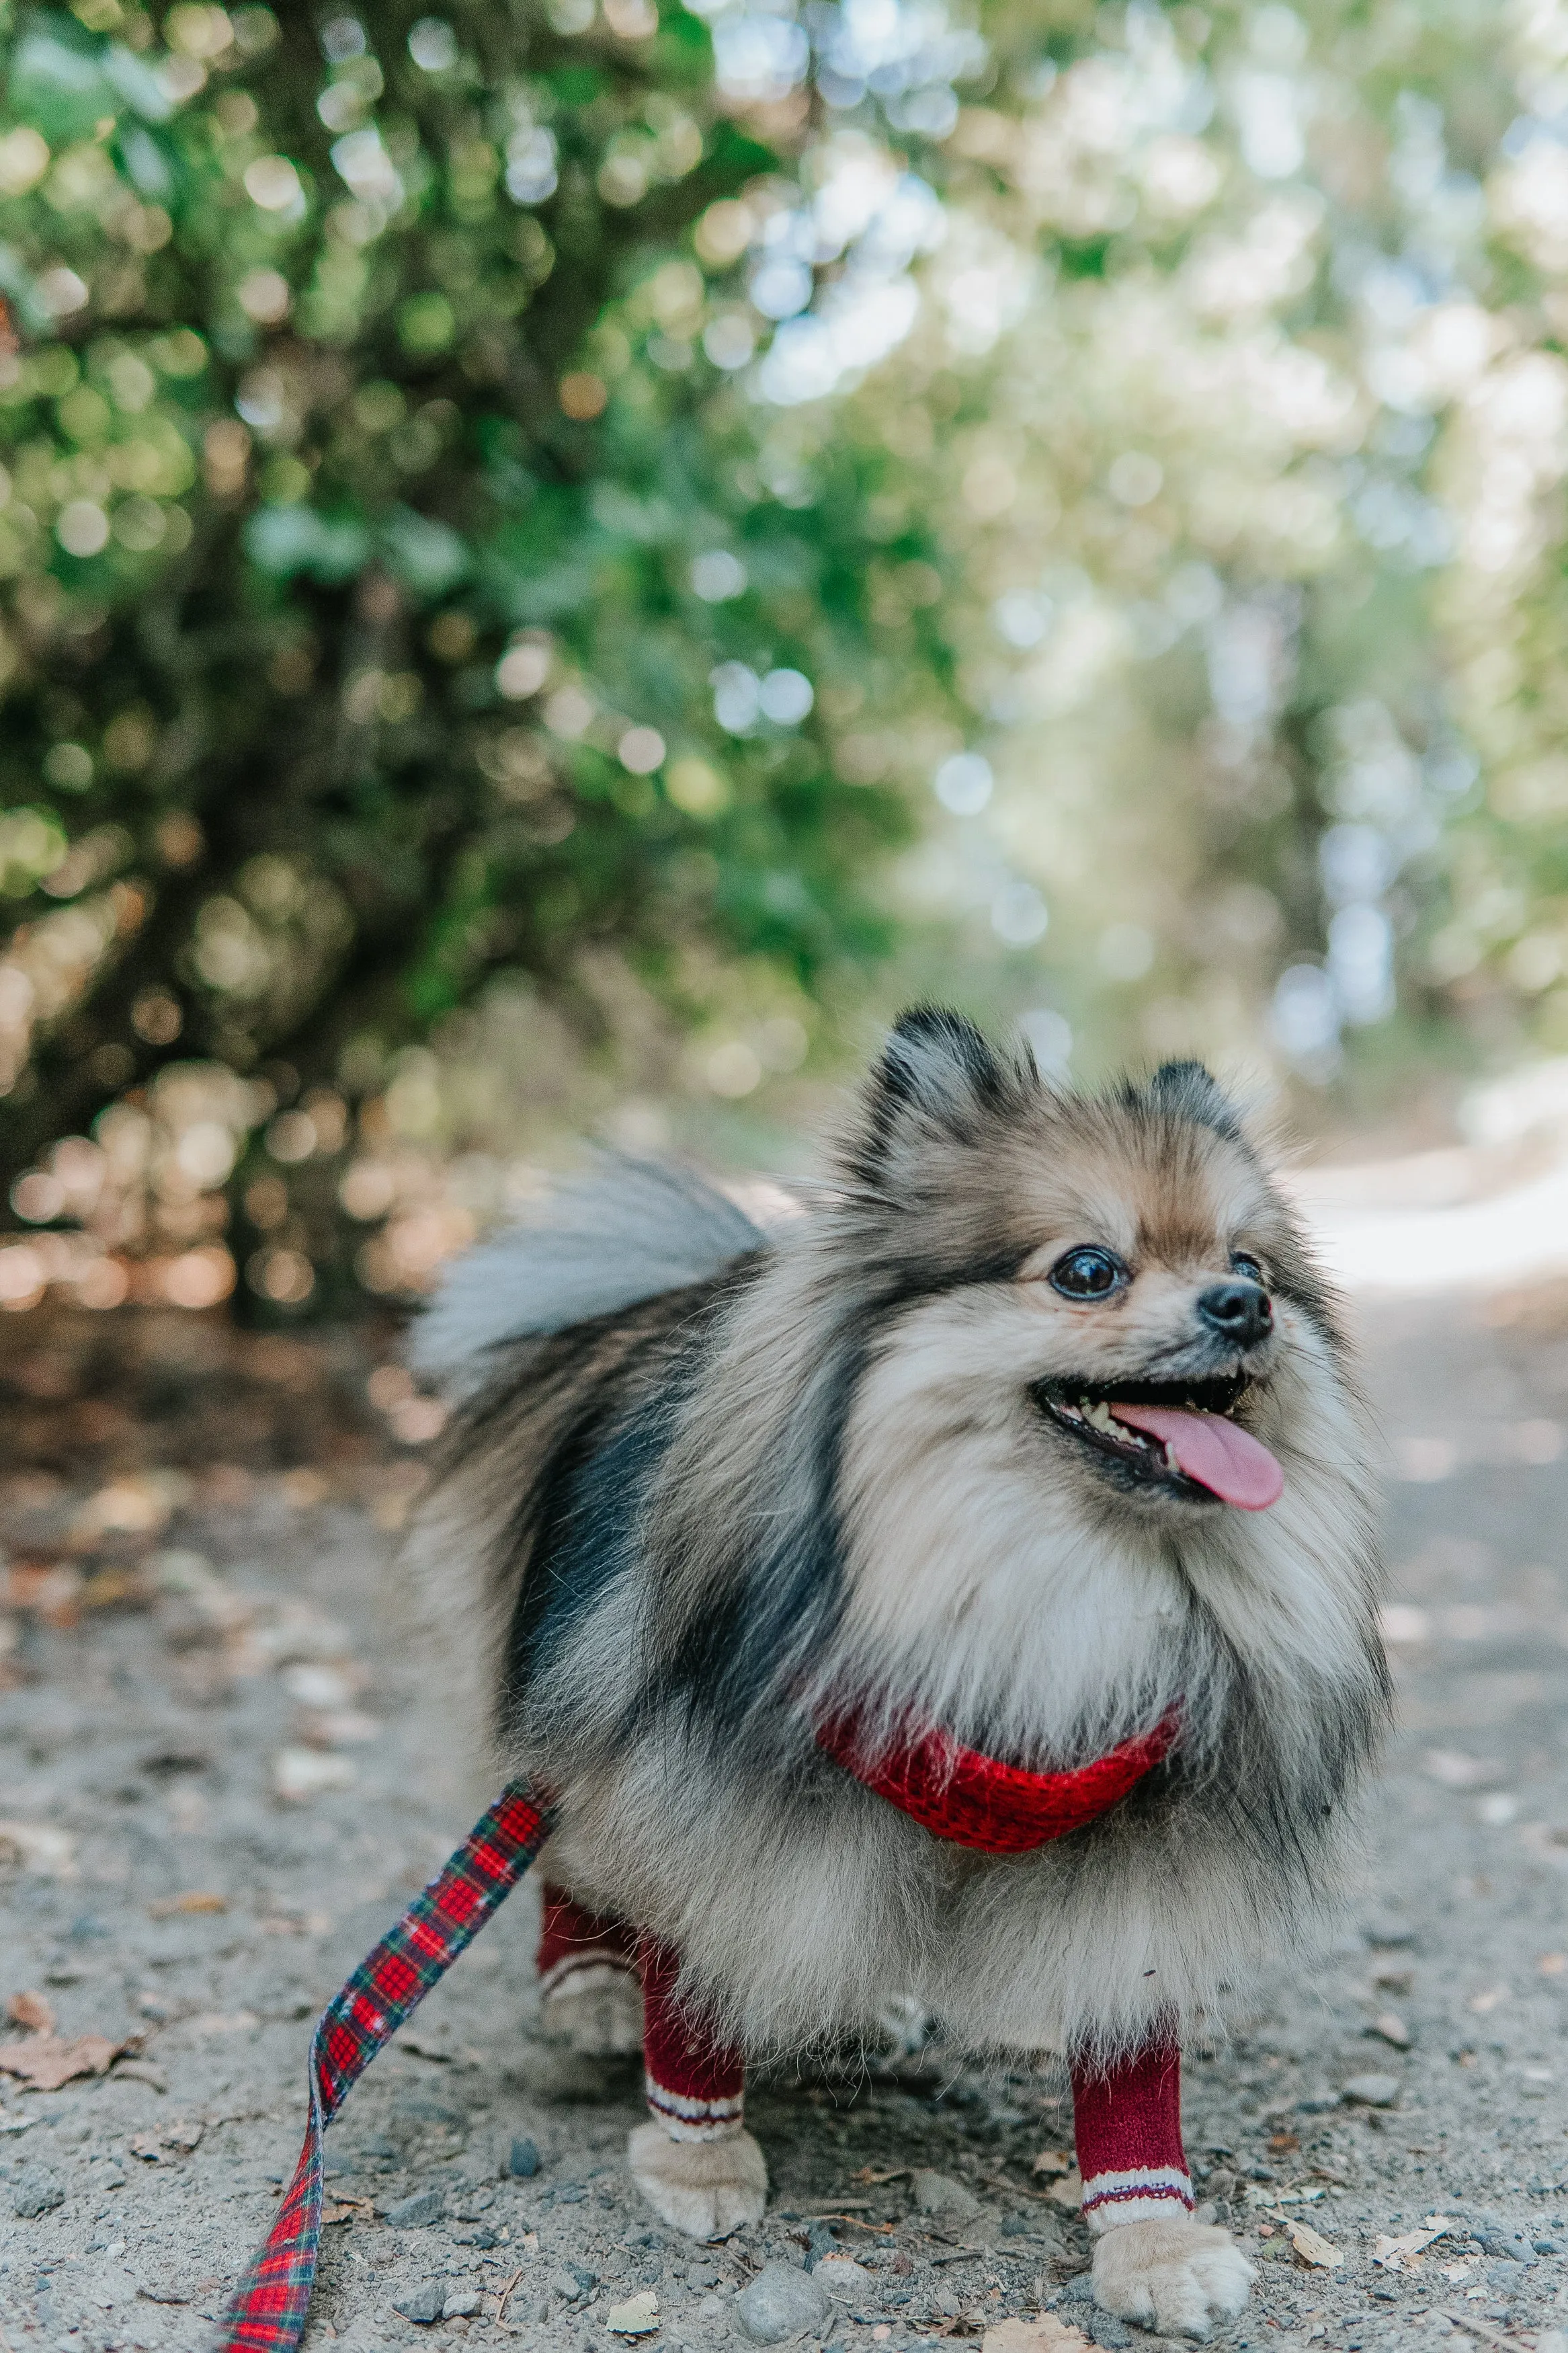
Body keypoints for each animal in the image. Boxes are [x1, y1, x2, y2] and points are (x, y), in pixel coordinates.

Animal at [409, 1007, 1382, 2334]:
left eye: (1254, 1265)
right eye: (1088, 1271)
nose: (1242, 1306)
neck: (1032, 1590)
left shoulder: (1137, 1828)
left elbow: (1130, 2052)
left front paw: (1155, 2245)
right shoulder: (700, 1778)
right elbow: (689, 1976)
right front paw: (696, 2159)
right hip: (571, 1679)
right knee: (570, 1837)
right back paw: (592, 1982)